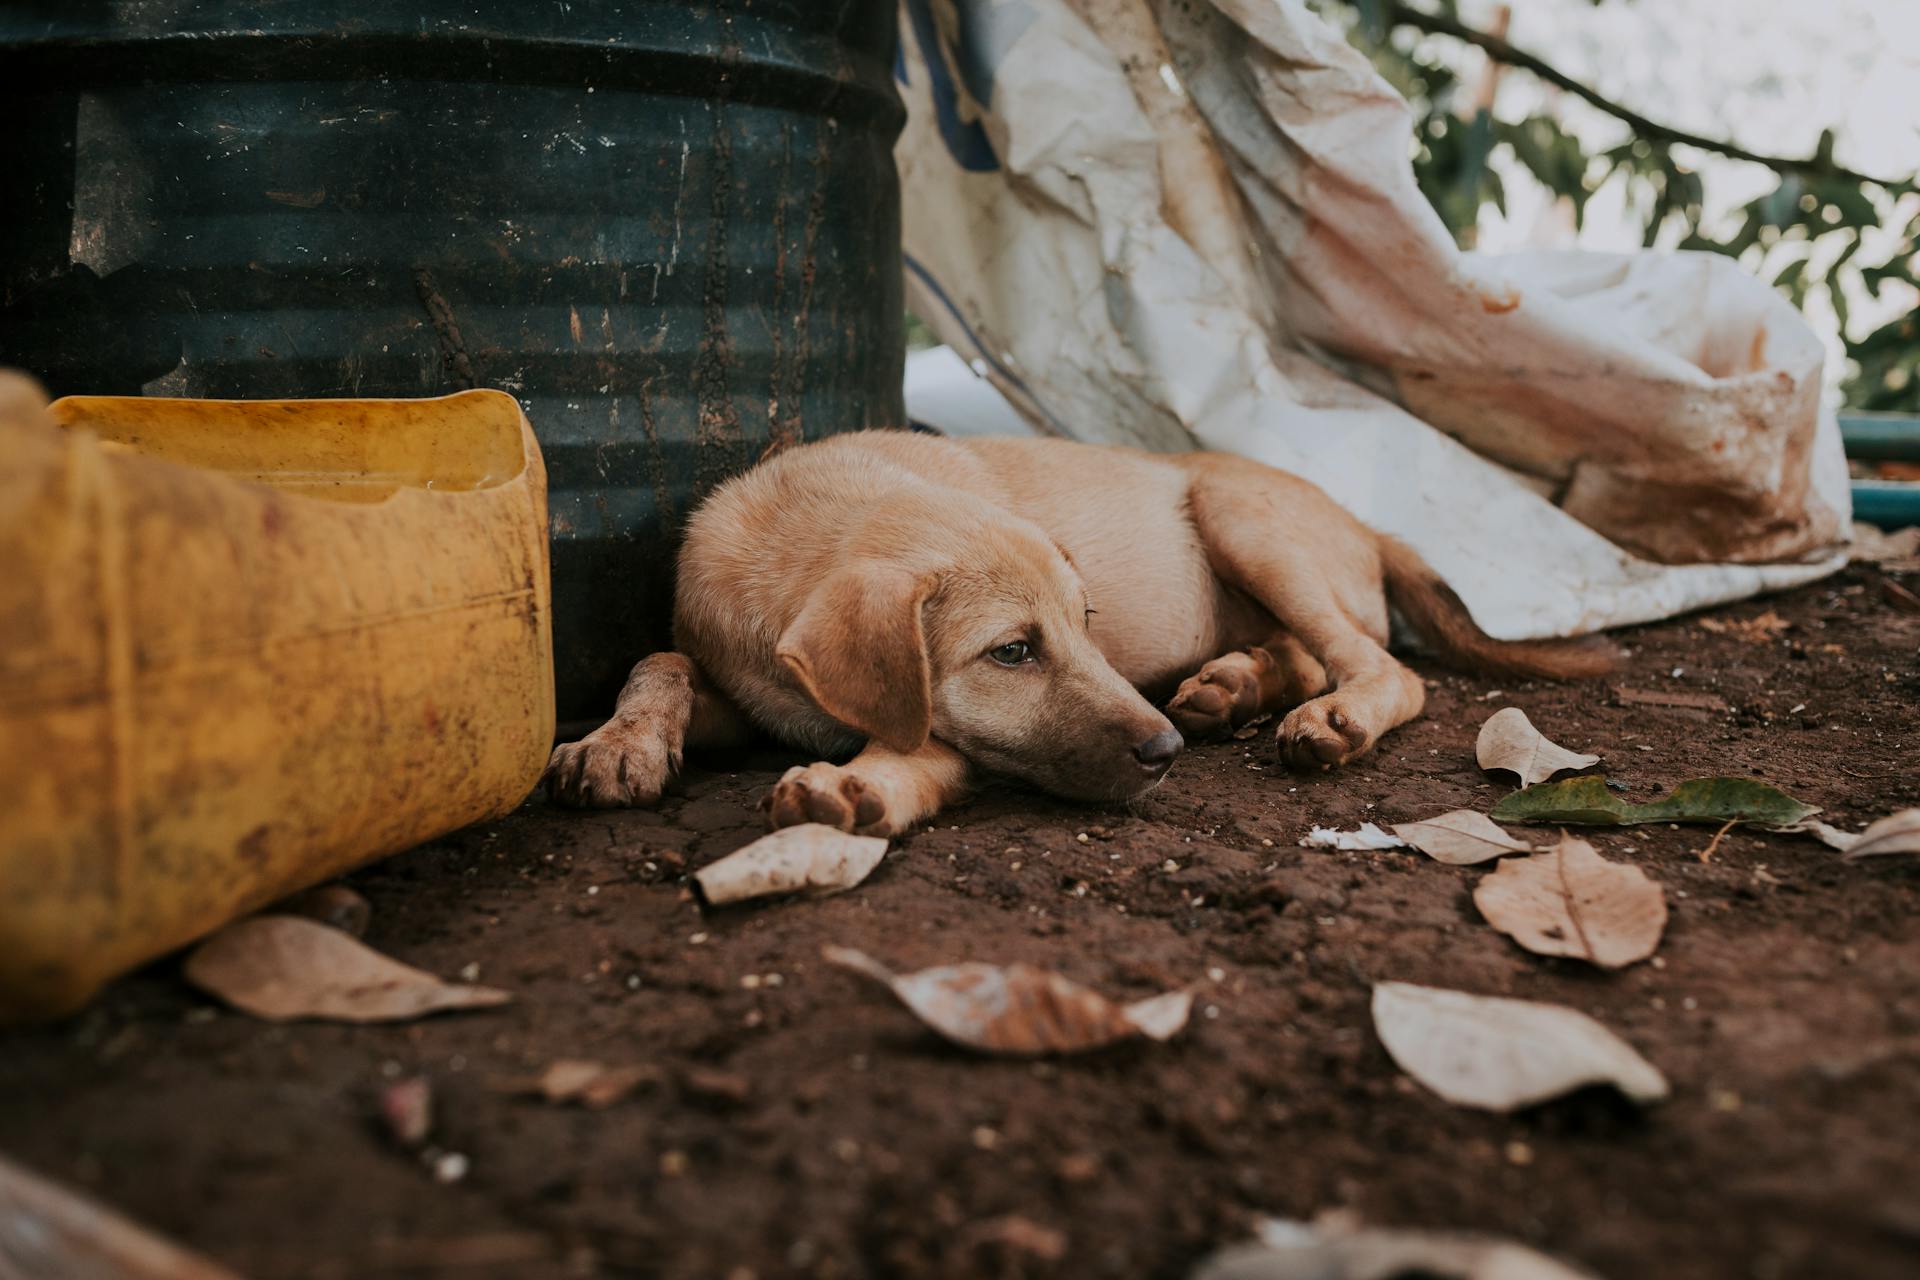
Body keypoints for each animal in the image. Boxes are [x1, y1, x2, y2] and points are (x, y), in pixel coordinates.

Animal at [549, 429, 1612, 836]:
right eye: (1013, 651)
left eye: (1086, 623)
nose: (1165, 753)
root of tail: (1365, 523)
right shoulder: (747, 686)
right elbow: (659, 657)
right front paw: (619, 741)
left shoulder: (945, 735)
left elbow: (915, 748)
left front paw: (857, 785)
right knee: (1313, 652)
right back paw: (1233, 685)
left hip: (1240, 515)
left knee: (1383, 667)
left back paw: (1323, 718)